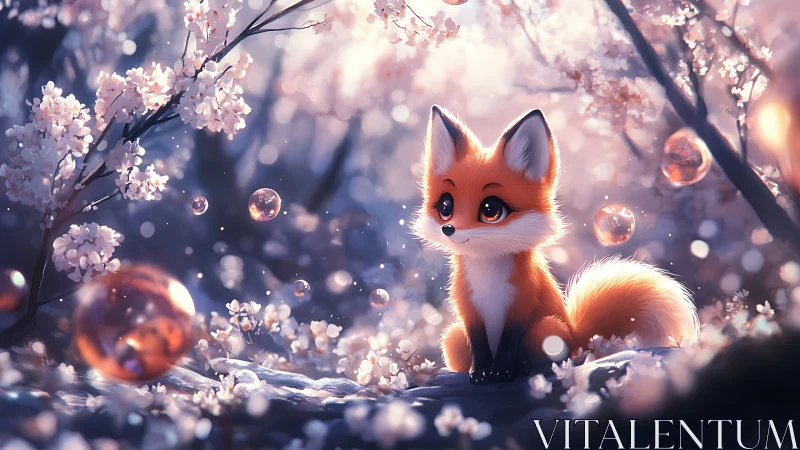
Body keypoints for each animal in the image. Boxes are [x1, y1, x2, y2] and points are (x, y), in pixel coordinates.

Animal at [412, 105, 700, 384]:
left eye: (491, 210)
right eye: (446, 207)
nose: (449, 228)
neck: (487, 277)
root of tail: (576, 334)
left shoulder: (522, 303)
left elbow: (508, 345)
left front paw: (502, 373)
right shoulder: (468, 309)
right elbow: (480, 346)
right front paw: (481, 373)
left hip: (547, 329)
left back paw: (524, 369)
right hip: (453, 336)